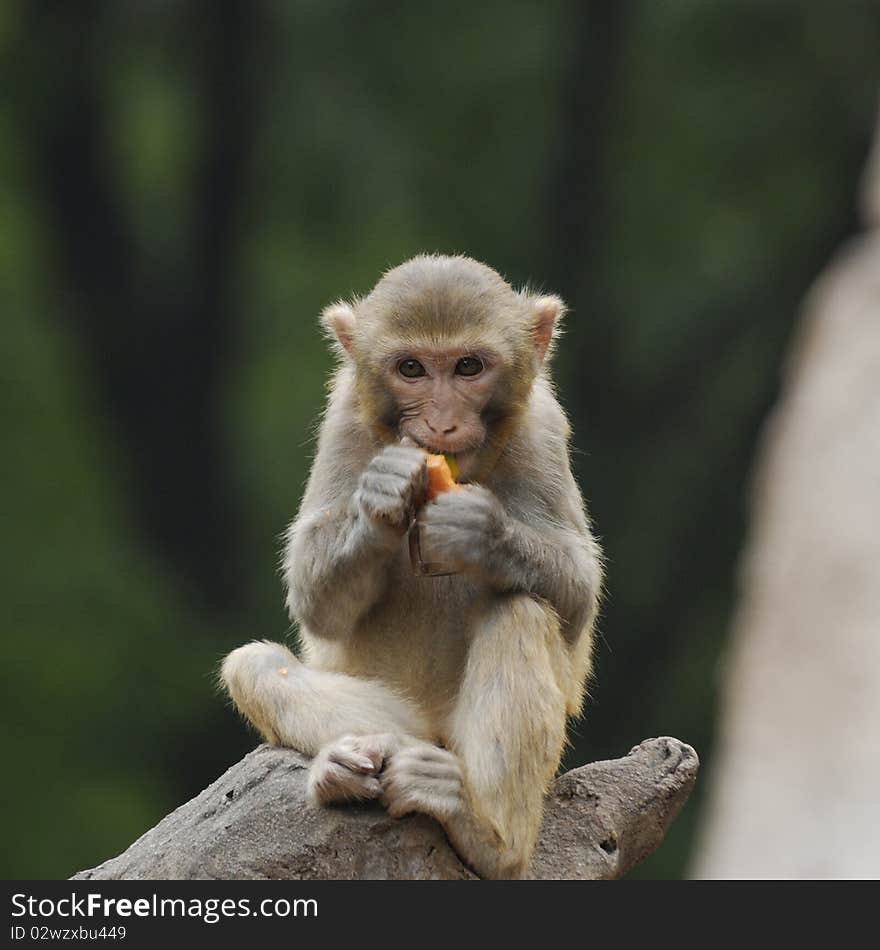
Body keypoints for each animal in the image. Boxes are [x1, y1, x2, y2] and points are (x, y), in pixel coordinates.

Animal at [222, 253, 604, 876]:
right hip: (408, 718)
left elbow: (578, 592)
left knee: (521, 610)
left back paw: (486, 835)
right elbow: (312, 599)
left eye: (469, 367)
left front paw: (482, 533)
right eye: (411, 369)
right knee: (255, 667)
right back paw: (352, 762)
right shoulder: (344, 420)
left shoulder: (543, 428)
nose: (442, 424)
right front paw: (383, 497)